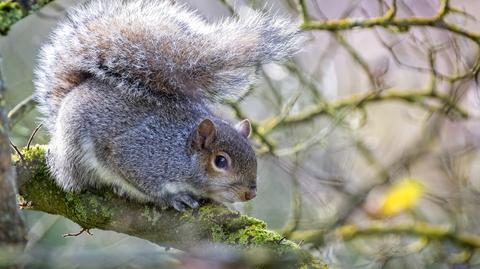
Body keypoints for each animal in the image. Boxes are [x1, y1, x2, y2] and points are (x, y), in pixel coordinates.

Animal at [33, 0, 298, 210]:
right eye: (220, 161)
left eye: (253, 156)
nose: (250, 193)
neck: (180, 150)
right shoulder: (138, 156)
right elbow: (143, 182)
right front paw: (173, 199)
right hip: (75, 153)